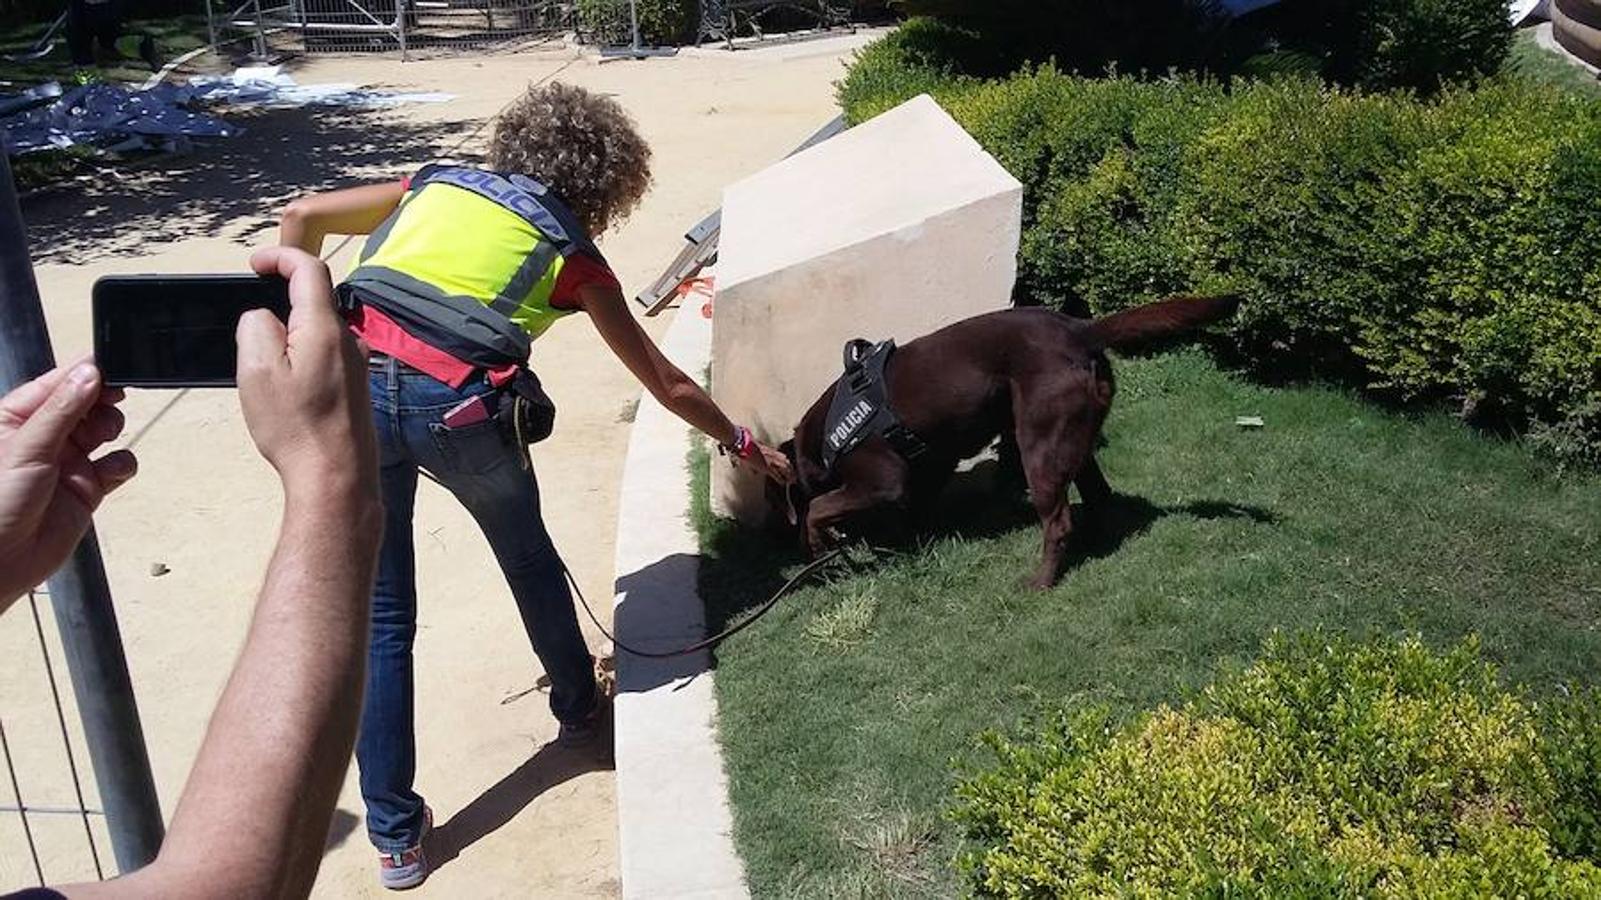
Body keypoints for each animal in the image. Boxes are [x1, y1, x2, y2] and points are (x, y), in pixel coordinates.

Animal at [774, 294, 1235, 589]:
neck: (821, 436)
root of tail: (1080, 329)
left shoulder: (882, 480)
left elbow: (819, 506)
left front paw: (815, 542)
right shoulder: (932, 464)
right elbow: (915, 506)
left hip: (1039, 444)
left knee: (1058, 521)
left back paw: (1041, 581)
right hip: (1072, 436)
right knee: (1099, 496)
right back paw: (1092, 545)